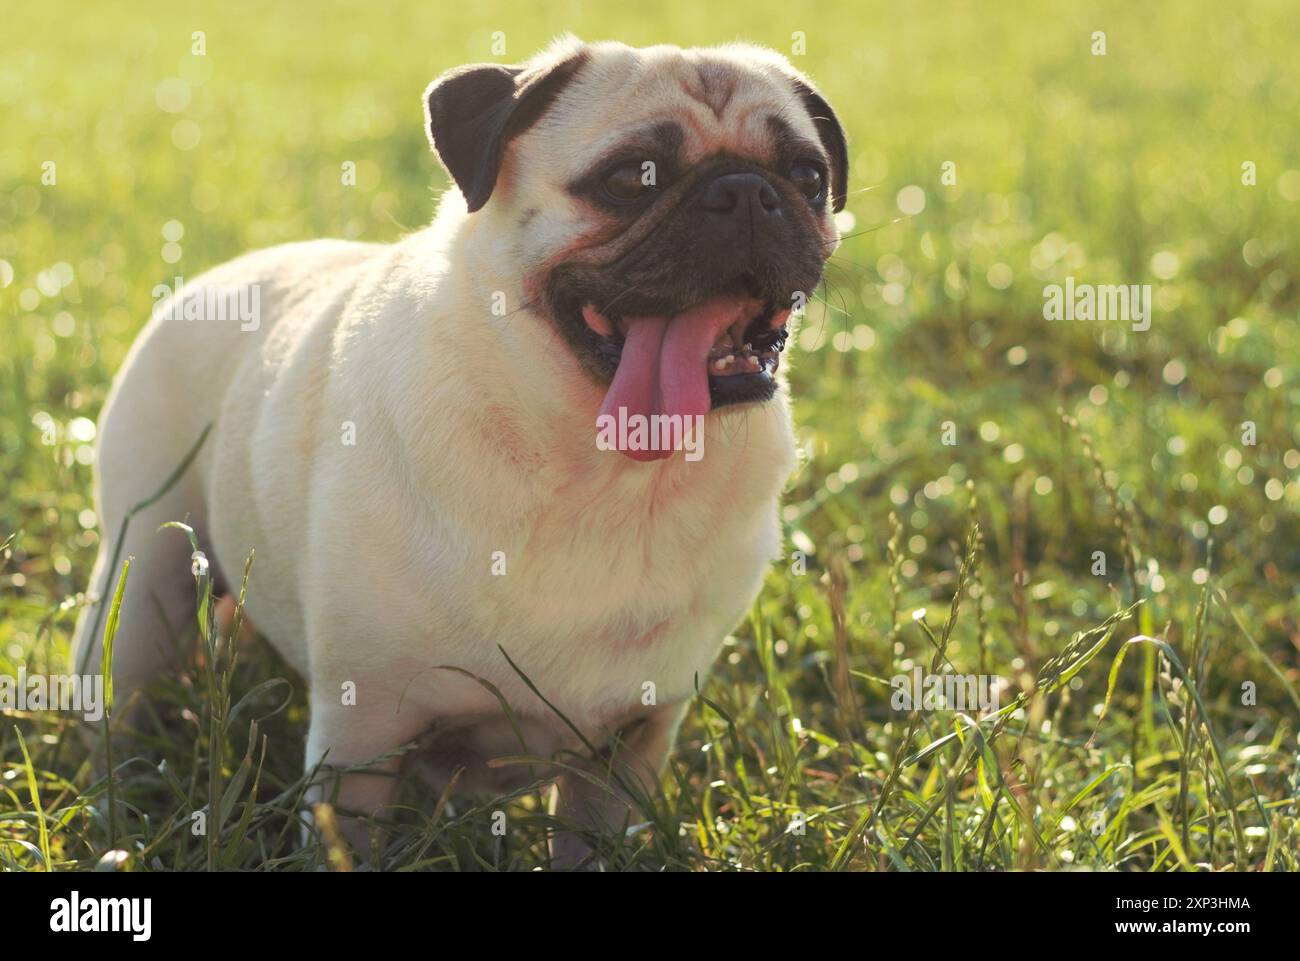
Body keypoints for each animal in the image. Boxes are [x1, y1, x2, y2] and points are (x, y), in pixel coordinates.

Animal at [73, 35, 842, 863]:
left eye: (809, 177)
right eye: (632, 177)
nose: (747, 192)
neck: (600, 472)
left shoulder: (628, 744)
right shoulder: (362, 735)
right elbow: (348, 843)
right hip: (139, 586)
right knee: (119, 701)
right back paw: (116, 808)